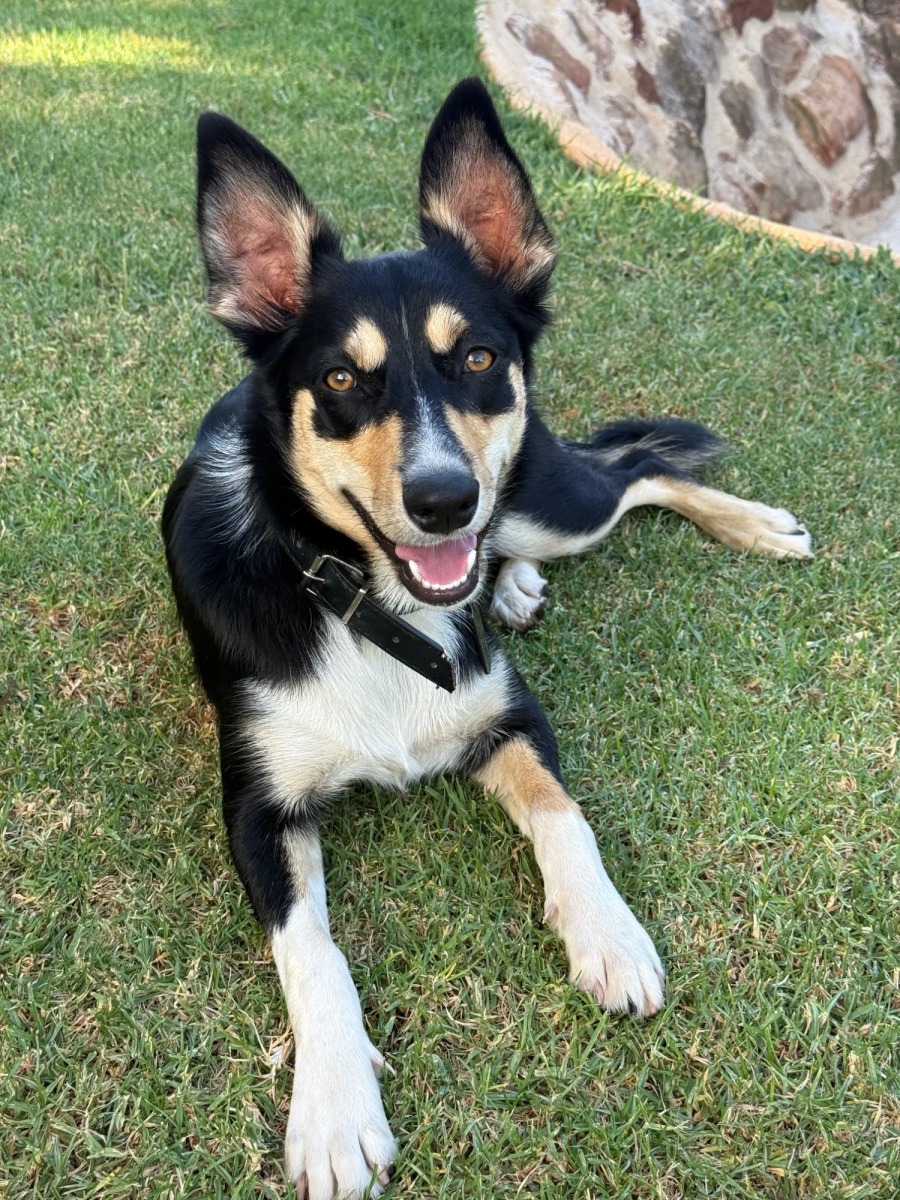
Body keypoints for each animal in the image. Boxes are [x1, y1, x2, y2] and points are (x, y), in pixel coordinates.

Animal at [162, 77, 812, 1199]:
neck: (374, 611)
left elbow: (565, 817)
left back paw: (750, 526)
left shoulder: (510, 717)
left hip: (545, 500)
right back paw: (512, 583)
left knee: (639, 470)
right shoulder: (256, 806)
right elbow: (312, 949)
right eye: (342, 382)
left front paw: (608, 935)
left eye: (476, 357)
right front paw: (334, 1109)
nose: (442, 500)